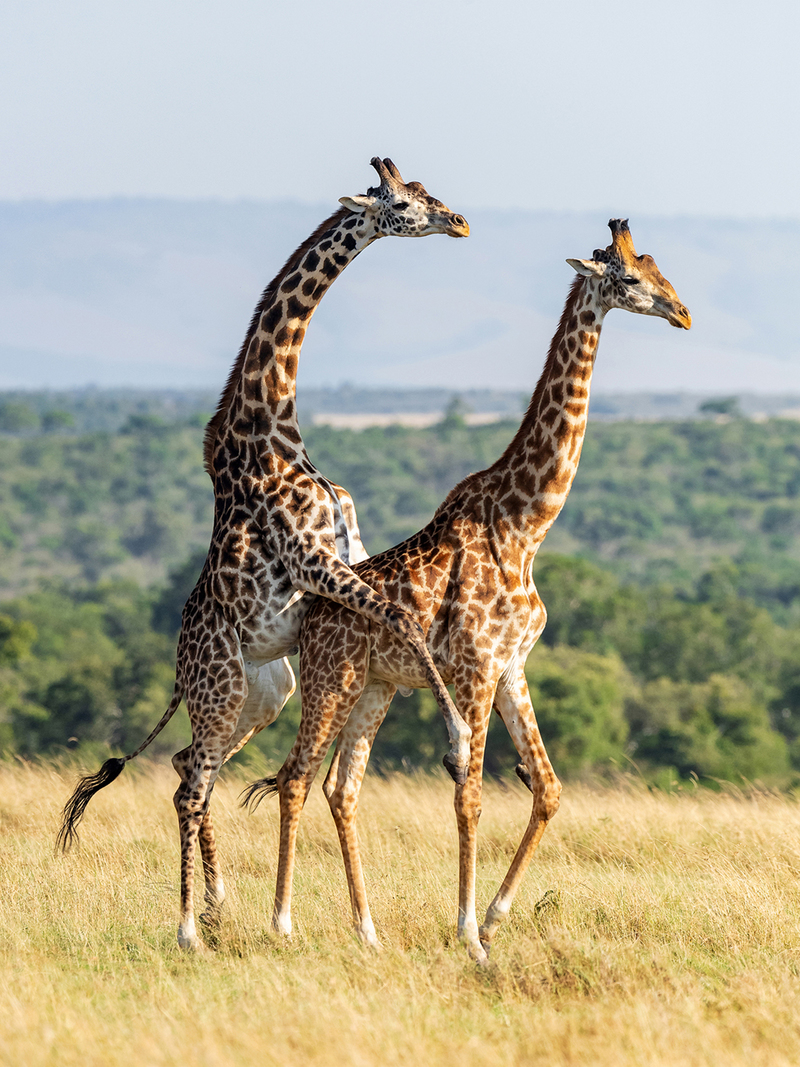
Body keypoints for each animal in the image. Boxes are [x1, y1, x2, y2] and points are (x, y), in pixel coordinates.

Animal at [58, 157, 472, 951]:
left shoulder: (349, 554)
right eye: (402, 202)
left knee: (189, 765)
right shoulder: (313, 562)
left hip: (263, 690)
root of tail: (180, 669)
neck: (275, 426)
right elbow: (401, 619)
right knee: (191, 781)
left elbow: (401, 611)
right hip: (223, 686)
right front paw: (459, 733)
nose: (459, 221)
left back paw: (219, 902)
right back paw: (189, 926)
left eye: (426, 188)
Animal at [246, 219, 691, 962]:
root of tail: (308, 614)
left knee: (342, 788)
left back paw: (367, 930)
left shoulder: (513, 665)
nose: (683, 313)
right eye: (630, 278)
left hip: (376, 687)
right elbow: (471, 797)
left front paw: (494, 915)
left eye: (660, 268)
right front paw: (468, 933)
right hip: (333, 679)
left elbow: (548, 789)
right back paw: (281, 923)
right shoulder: (476, 667)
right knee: (298, 777)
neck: (526, 524)